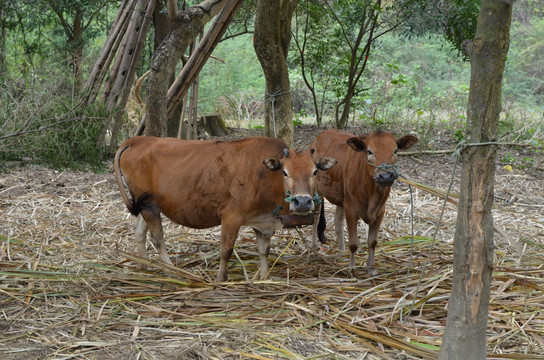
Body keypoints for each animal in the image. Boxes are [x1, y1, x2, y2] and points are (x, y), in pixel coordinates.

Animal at [308, 129, 418, 276]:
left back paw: (341, 251)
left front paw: (371, 268)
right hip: (317, 191)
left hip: (341, 198)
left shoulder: (380, 211)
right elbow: (354, 243)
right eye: (369, 151)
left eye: (395, 151)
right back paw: (314, 245)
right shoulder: (351, 210)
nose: (386, 176)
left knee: (338, 222)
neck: (371, 193)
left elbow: (372, 241)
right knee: (315, 217)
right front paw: (351, 269)